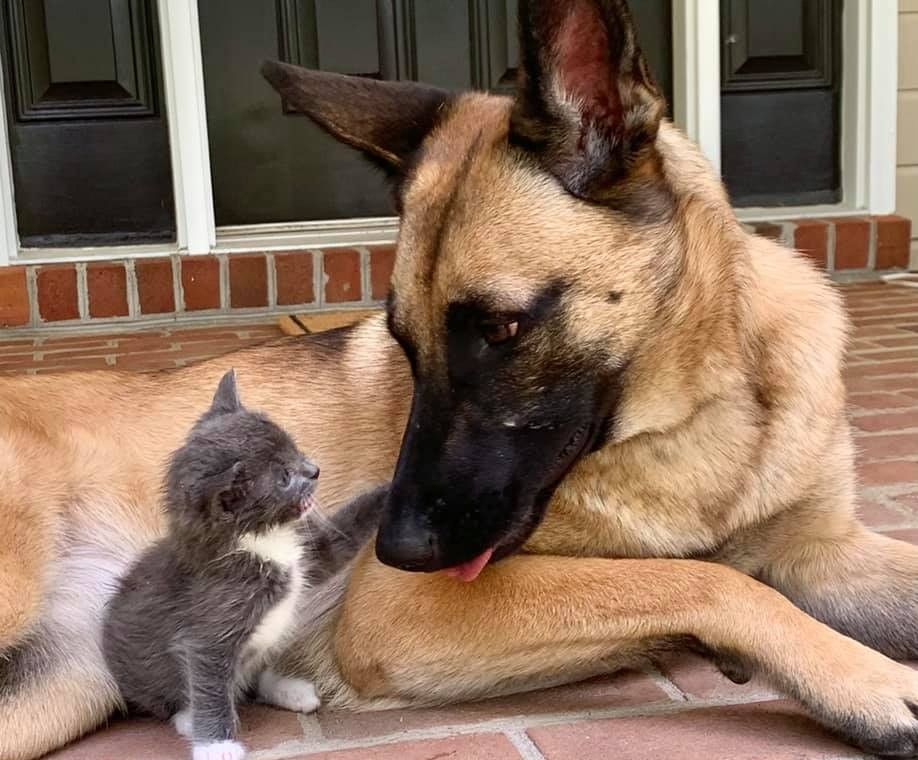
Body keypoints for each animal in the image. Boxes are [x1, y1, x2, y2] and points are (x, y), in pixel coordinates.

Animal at [102, 370, 386, 760]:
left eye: (293, 447)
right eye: (284, 477)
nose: (314, 470)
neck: (262, 543)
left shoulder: (308, 554)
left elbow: (340, 541)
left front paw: (392, 490)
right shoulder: (207, 633)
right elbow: (209, 685)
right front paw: (216, 744)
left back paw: (288, 689)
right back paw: (188, 718)